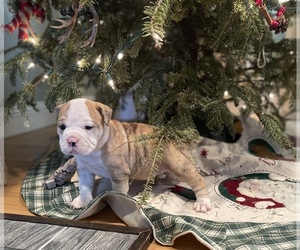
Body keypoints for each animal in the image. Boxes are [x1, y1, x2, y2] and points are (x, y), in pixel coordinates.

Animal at [56, 98, 211, 212]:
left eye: (88, 127)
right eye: (62, 127)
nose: (72, 140)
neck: (94, 150)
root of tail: (173, 135)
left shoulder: (118, 174)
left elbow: (117, 192)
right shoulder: (85, 170)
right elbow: (84, 187)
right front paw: (83, 201)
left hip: (179, 165)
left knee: (197, 180)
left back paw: (203, 202)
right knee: (168, 181)